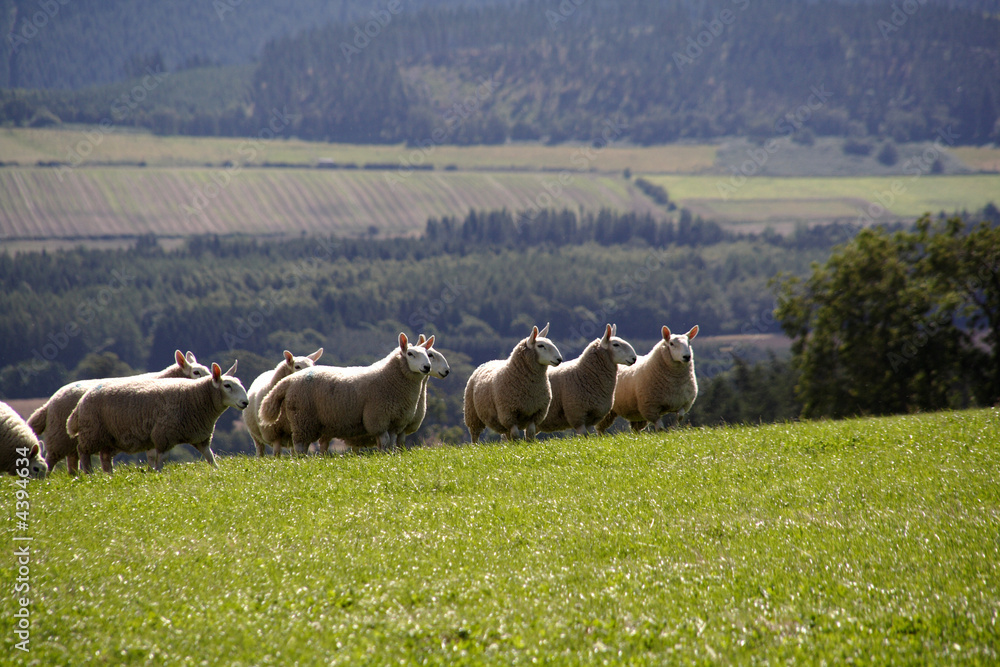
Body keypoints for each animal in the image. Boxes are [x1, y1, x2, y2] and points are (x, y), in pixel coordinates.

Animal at [27, 350, 210, 474]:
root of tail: (48, 403)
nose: (211, 381)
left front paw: (151, 470)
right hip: (60, 437)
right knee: (52, 459)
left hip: (72, 438)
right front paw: (153, 470)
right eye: (196, 372)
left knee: (73, 459)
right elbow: (152, 453)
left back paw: (77, 475)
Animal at [67, 361, 248, 474]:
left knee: (104, 458)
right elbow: (162, 459)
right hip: (92, 431)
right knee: (83, 452)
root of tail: (81, 402)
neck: (195, 397)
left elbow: (210, 457)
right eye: (227, 385)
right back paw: (89, 474)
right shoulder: (163, 434)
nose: (245, 402)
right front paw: (158, 474)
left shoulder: (200, 437)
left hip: (110, 437)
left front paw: (218, 471)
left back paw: (109, 476)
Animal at [258, 333, 431, 453]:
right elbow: (384, 441)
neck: (390, 378)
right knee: (300, 446)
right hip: (302, 417)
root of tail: (288, 381)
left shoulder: (396, 421)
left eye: (428, 353)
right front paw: (383, 456)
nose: (427, 367)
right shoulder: (377, 418)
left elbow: (391, 443)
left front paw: (390, 455)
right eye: (410, 354)